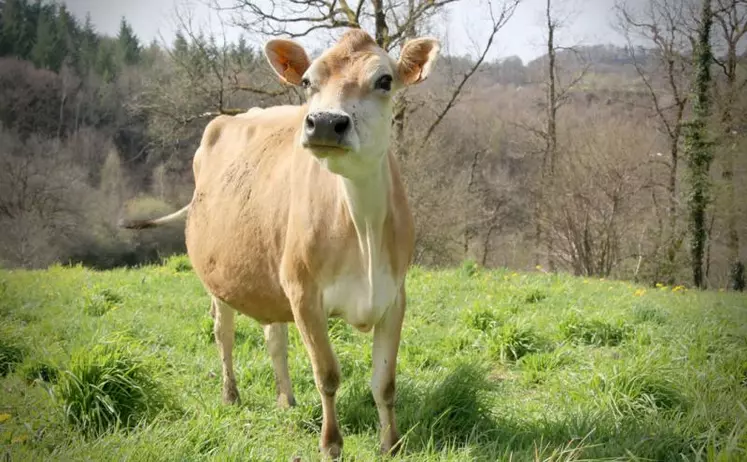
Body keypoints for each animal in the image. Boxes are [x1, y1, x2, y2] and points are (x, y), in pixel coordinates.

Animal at [120, 29, 442, 458]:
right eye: (307, 82)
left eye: (385, 80)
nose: (325, 122)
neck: (363, 230)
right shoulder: (304, 293)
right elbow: (327, 375)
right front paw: (331, 445)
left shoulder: (394, 295)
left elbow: (385, 383)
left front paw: (391, 444)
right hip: (218, 280)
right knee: (223, 333)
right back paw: (231, 395)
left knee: (275, 338)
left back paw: (286, 400)